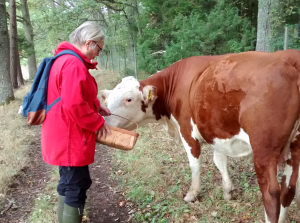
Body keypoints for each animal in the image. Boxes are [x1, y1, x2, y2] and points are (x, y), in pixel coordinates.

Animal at [101, 49, 300, 222]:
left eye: (128, 99)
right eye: (108, 99)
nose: (105, 120)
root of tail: (290, 56)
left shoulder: (187, 131)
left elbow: (195, 163)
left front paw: (193, 194)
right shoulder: (215, 132)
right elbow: (220, 161)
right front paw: (228, 191)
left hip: (264, 150)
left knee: (271, 193)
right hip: (295, 146)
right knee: (288, 189)